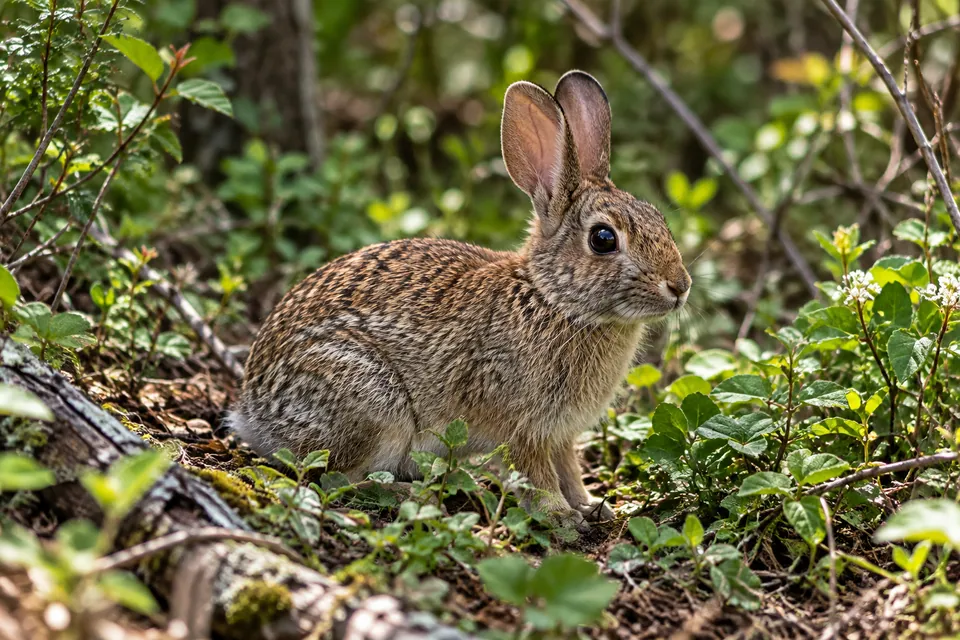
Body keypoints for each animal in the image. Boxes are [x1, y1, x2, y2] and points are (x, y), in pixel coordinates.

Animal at [227, 70, 691, 526]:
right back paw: (407, 493)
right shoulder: (523, 426)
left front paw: (591, 504)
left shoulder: (561, 434)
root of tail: (252, 414)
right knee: (336, 478)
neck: (553, 299)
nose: (680, 285)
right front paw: (559, 514)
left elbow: (569, 468)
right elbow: (537, 473)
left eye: (659, 218)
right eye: (603, 239)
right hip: (370, 402)